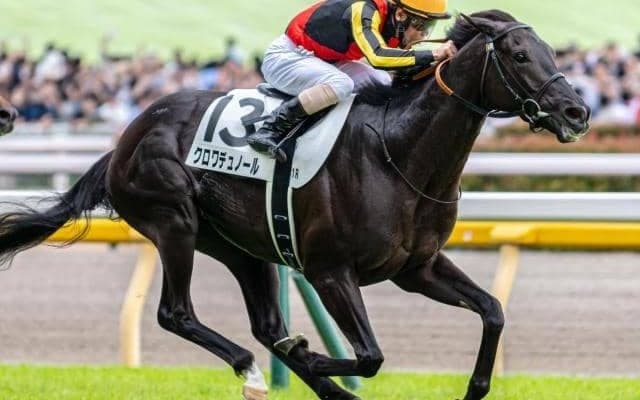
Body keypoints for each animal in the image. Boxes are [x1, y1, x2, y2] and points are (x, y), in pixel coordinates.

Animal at [0, 10, 589, 400]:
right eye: (519, 56)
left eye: (553, 54)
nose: (577, 112)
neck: (398, 152)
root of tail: (128, 135)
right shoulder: (330, 271)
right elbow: (371, 356)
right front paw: (314, 357)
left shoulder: (416, 268)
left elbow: (492, 310)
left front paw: (475, 387)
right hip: (174, 222)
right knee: (178, 313)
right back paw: (257, 371)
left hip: (241, 246)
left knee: (266, 324)